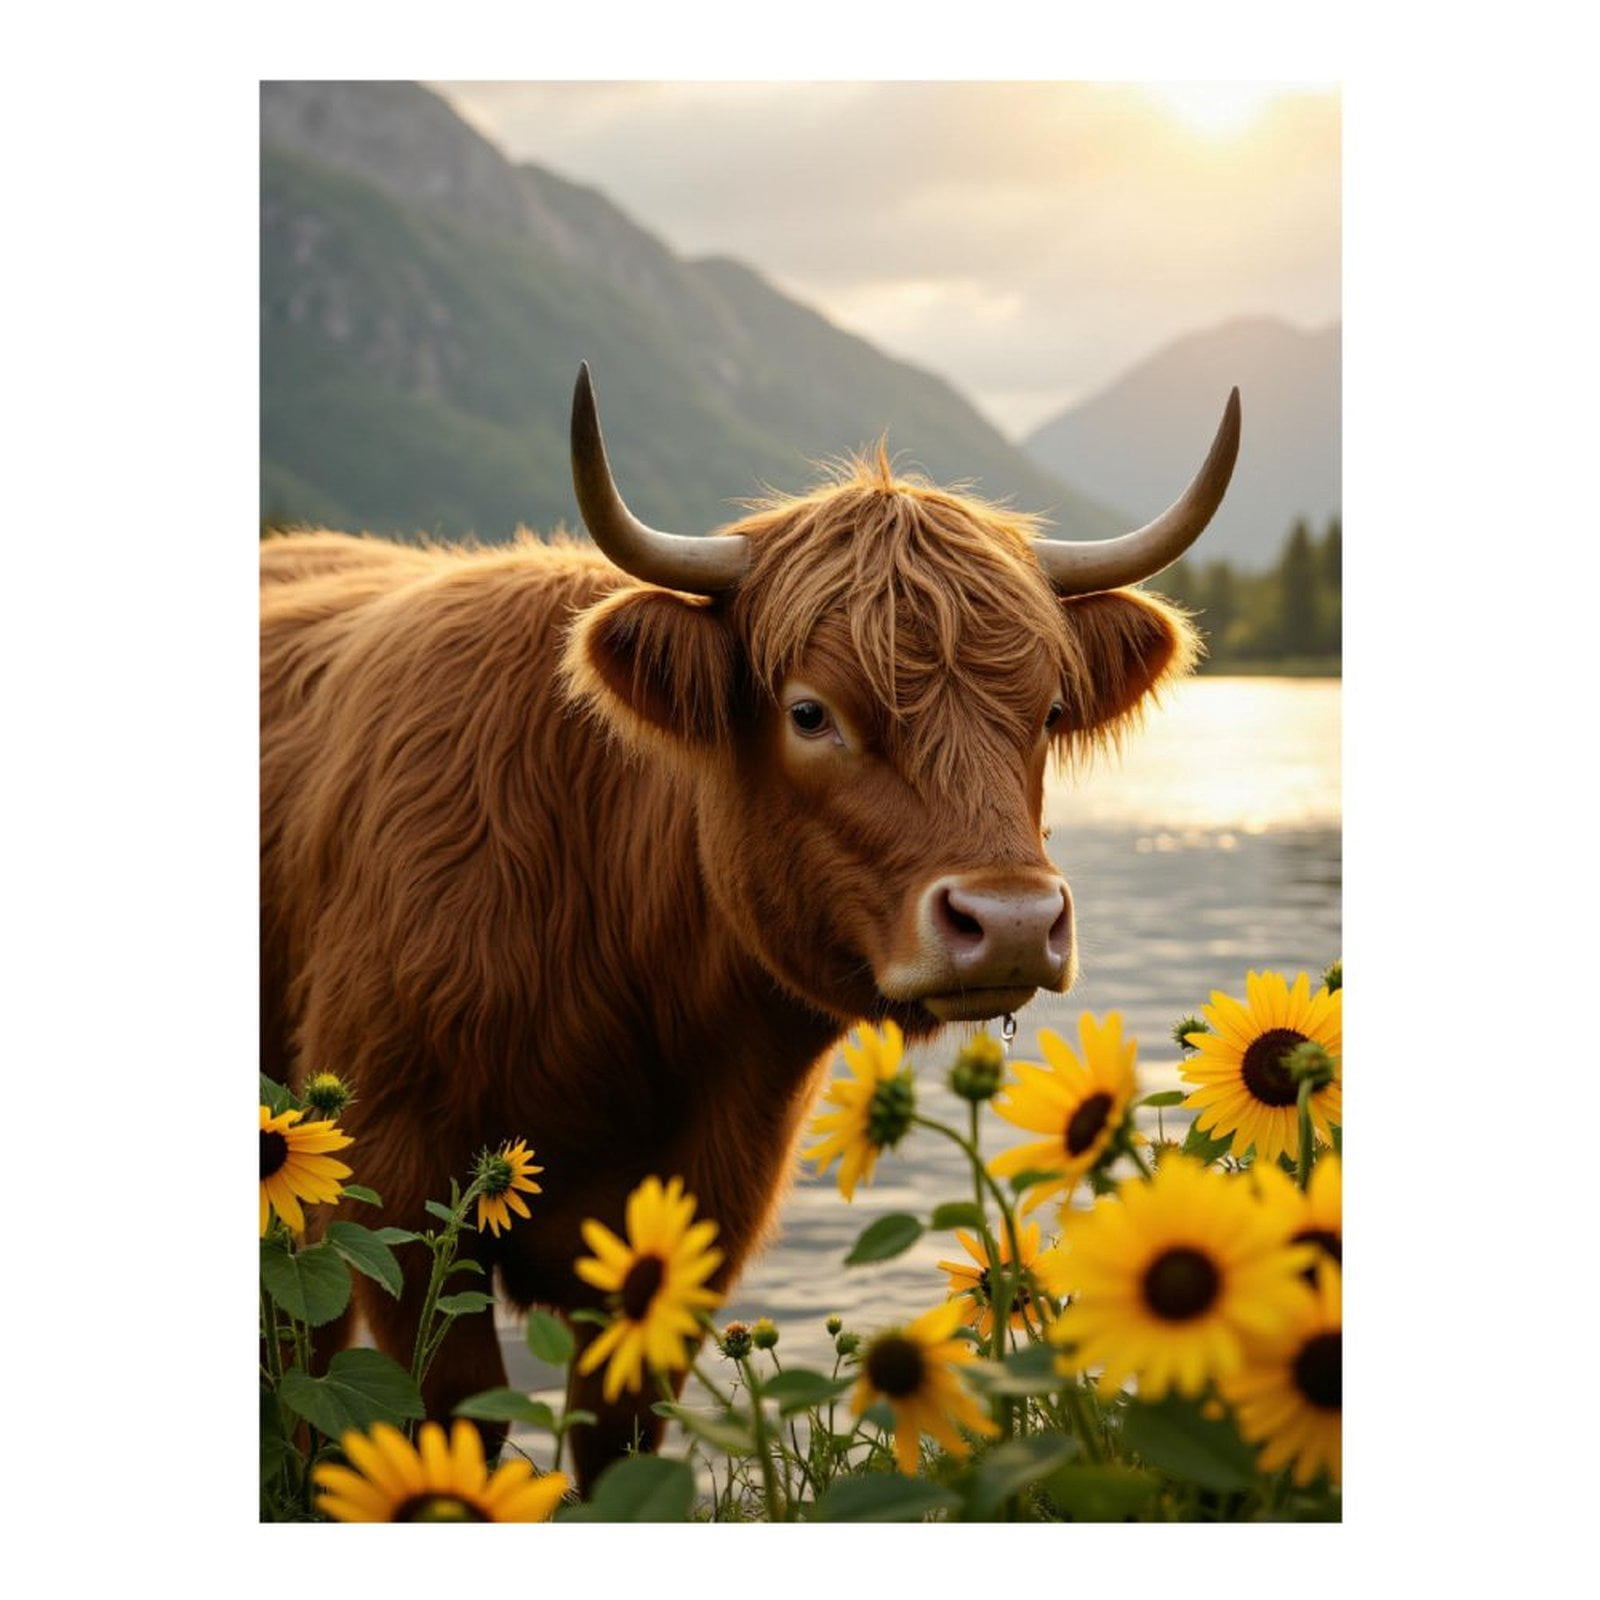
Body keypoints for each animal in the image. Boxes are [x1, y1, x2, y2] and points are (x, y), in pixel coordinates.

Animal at [260, 364, 1239, 1489]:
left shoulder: (701, 1210)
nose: (1008, 920)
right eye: (810, 713)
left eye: (1045, 712)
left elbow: (620, 1434)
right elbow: (446, 1407)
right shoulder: (399, 1177)